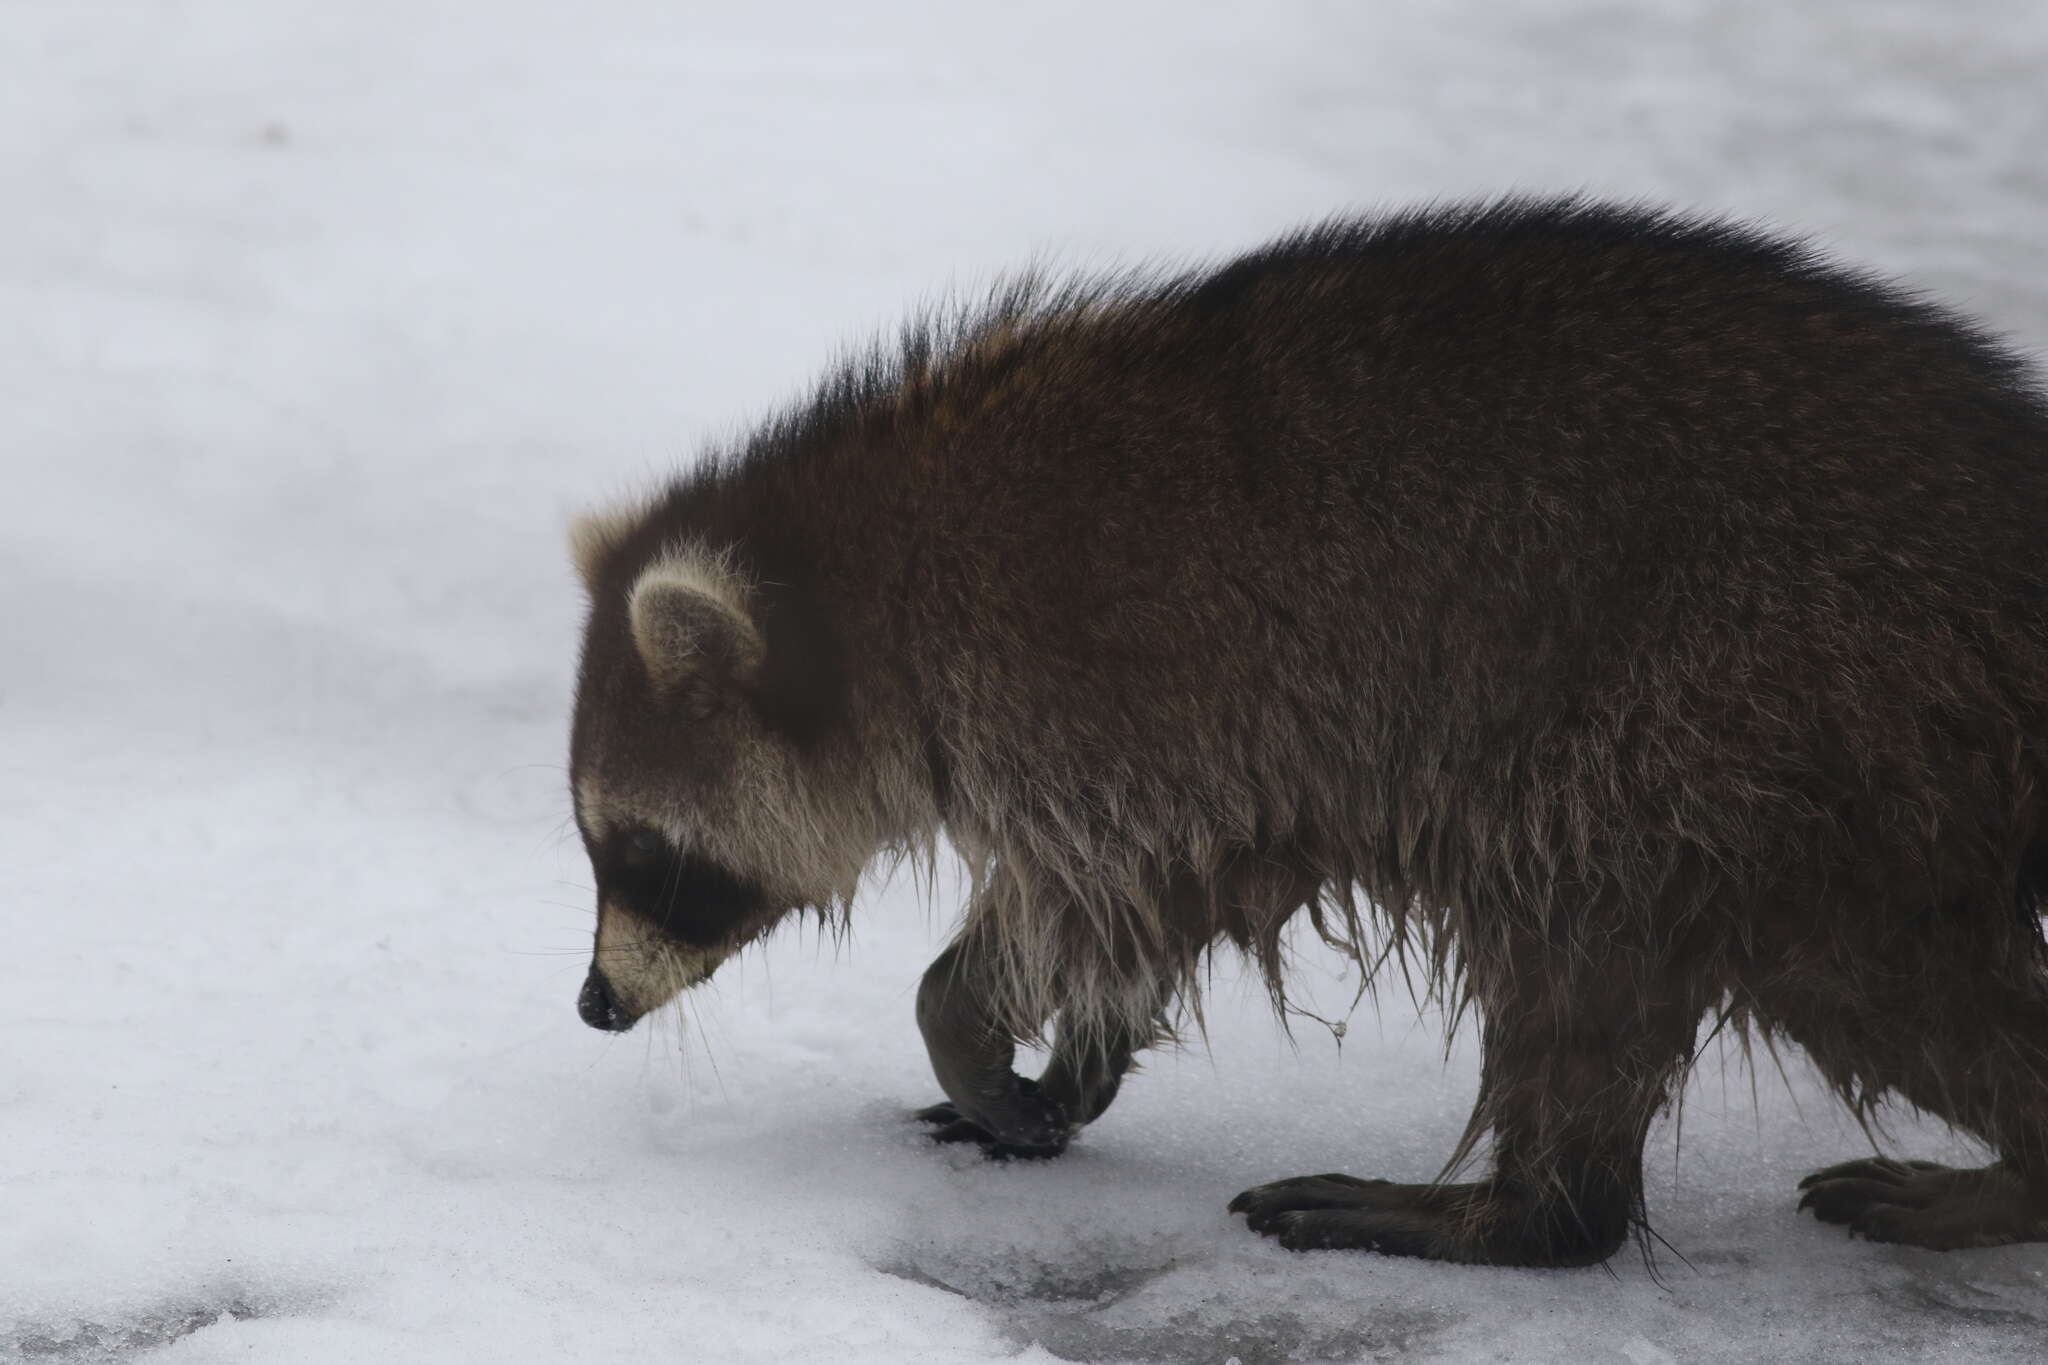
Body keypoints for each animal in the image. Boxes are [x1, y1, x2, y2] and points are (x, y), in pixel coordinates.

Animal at [569, 197, 2048, 1268]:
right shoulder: (1217, 763)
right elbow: (1163, 910)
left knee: (1662, 935)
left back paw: (1528, 1213)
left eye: (641, 853)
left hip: (1754, 713)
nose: (592, 1005)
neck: (863, 575)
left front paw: (969, 1026)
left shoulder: (1117, 706)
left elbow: (1112, 896)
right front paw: (1071, 1056)